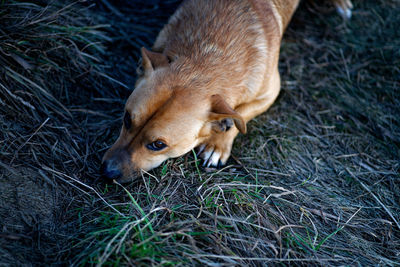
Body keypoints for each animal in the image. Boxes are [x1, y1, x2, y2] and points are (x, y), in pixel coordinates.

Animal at [102, 0, 354, 183]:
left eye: (158, 145)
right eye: (127, 119)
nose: (107, 171)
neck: (206, 54)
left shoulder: (271, 91)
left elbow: (240, 115)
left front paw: (218, 143)